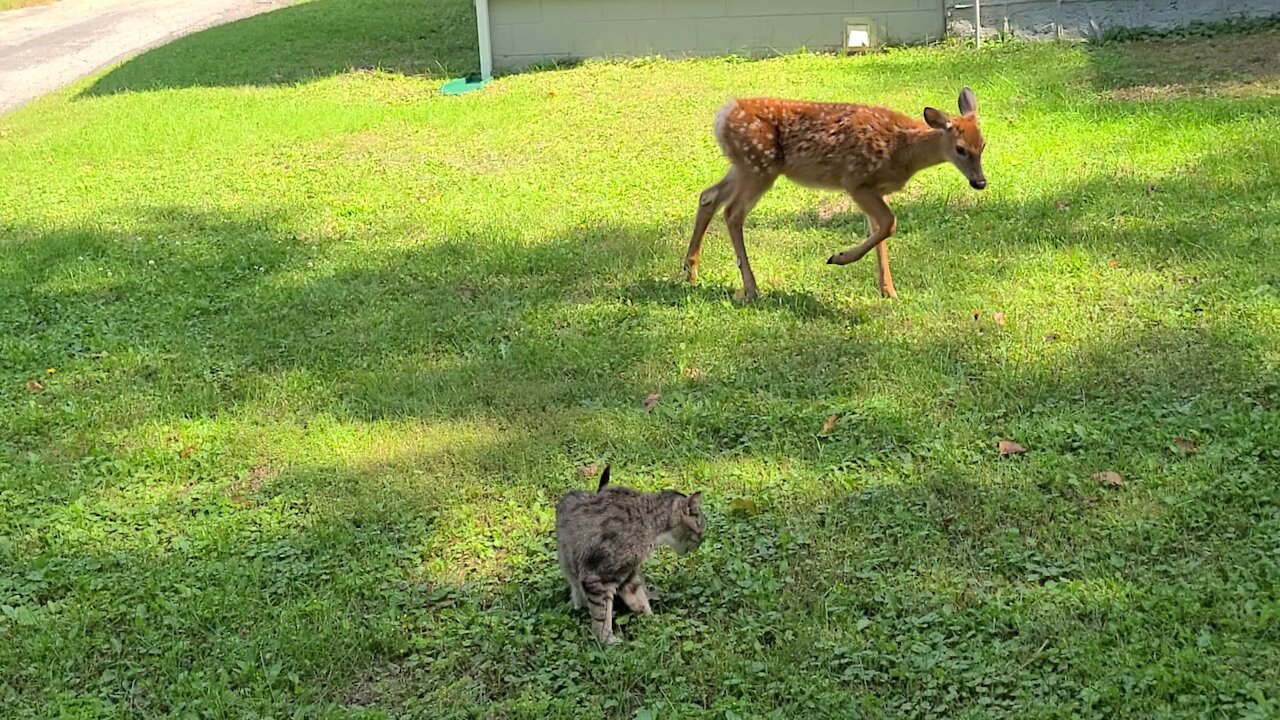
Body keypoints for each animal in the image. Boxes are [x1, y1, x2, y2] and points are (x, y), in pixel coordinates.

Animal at [552, 466, 706, 645]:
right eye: (701, 528)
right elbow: (601, 614)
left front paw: (653, 623)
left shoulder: (627, 573)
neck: (651, 522)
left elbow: (639, 599)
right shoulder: (597, 575)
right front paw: (606, 640)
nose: (701, 543)